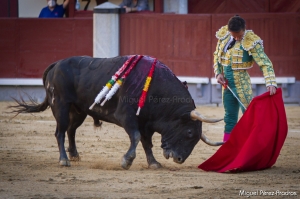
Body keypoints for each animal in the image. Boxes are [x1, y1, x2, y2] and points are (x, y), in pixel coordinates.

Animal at [9, 54, 223, 169]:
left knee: (71, 130)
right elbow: (136, 137)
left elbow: (147, 143)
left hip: (79, 111)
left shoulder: (146, 123)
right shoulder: (127, 117)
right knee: (60, 132)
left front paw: (153, 163)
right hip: (60, 105)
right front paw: (126, 161)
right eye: (189, 132)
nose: (179, 159)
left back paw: (75, 155)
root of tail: (56, 64)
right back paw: (64, 160)